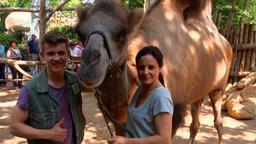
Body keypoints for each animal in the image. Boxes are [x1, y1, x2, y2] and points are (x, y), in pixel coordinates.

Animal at [75, 0, 233, 143]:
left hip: (219, 87)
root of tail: (226, 44)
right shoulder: (118, 119)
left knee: (218, 121)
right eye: (79, 33)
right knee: (195, 123)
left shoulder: (175, 110)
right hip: (199, 91)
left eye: (123, 34)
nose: (89, 64)